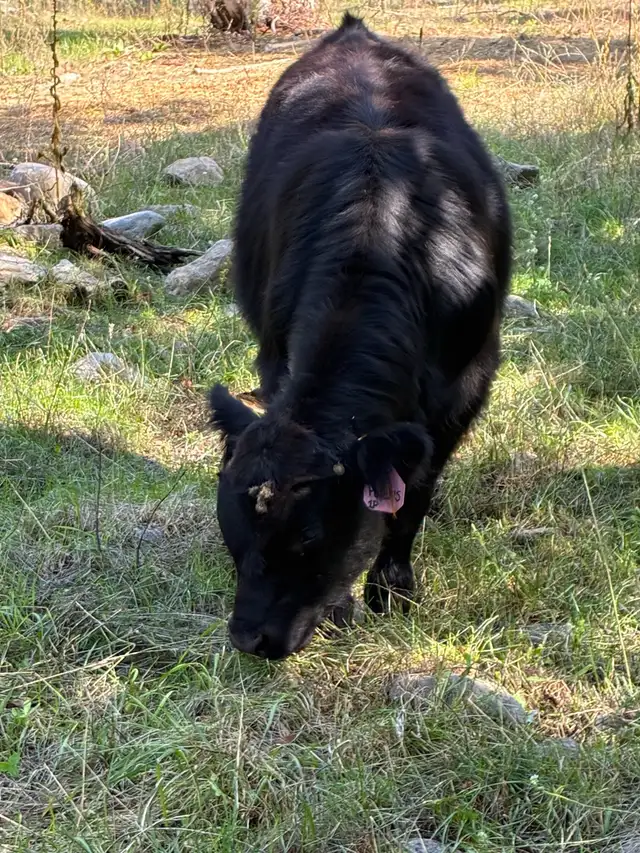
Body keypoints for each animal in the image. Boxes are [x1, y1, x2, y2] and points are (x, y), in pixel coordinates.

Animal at [209, 12, 512, 660]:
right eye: (233, 533)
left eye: (308, 538)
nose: (248, 638)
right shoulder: (275, 358)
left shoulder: (464, 388)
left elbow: (413, 492)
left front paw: (391, 588)